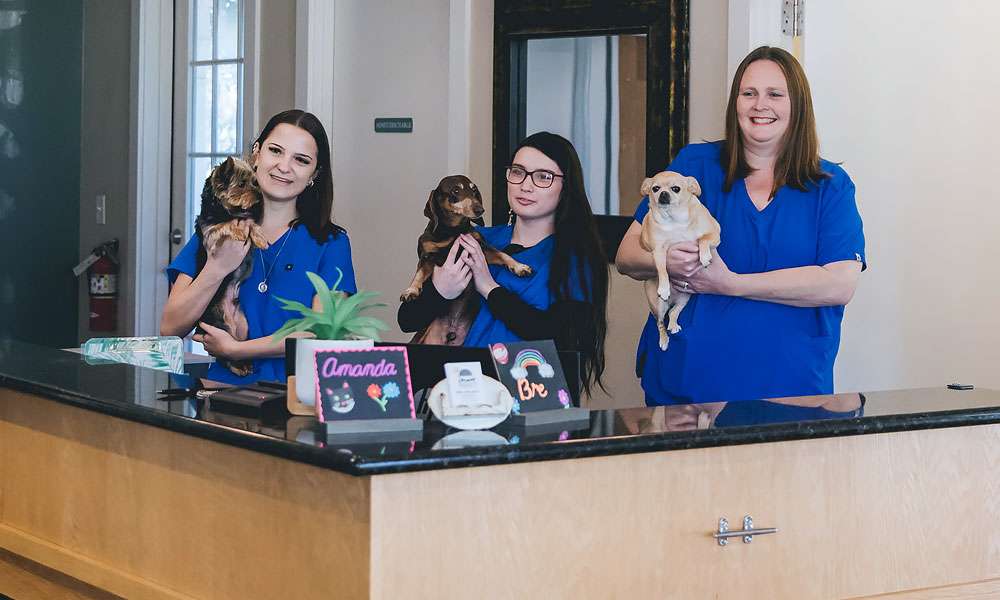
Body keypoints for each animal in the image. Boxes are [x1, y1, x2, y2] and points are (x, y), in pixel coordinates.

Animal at [192, 157, 268, 378]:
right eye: (241, 184)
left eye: (255, 182)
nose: (260, 196)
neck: (225, 211)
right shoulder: (211, 234)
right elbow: (226, 226)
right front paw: (239, 231)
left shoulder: (245, 218)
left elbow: (250, 222)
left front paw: (260, 239)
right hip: (217, 323)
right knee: (224, 355)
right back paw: (238, 367)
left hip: (243, 326)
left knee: (235, 346)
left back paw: (245, 364)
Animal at [402, 173, 536, 344]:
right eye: (455, 190)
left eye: (474, 190)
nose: (480, 209)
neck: (453, 231)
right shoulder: (427, 257)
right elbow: (418, 274)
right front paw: (411, 290)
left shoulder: (482, 248)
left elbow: (503, 254)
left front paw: (519, 267)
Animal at [640, 171, 720, 350]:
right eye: (655, 189)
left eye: (676, 188)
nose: (663, 193)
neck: (674, 220)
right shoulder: (659, 251)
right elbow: (662, 269)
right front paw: (664, 287)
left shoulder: (715, 234)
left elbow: (703, 239)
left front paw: (704, 256)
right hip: (658, 305)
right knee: (660, 321)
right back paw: (664, 340)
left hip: (685, 298)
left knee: (673, 312)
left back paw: (673, 325)